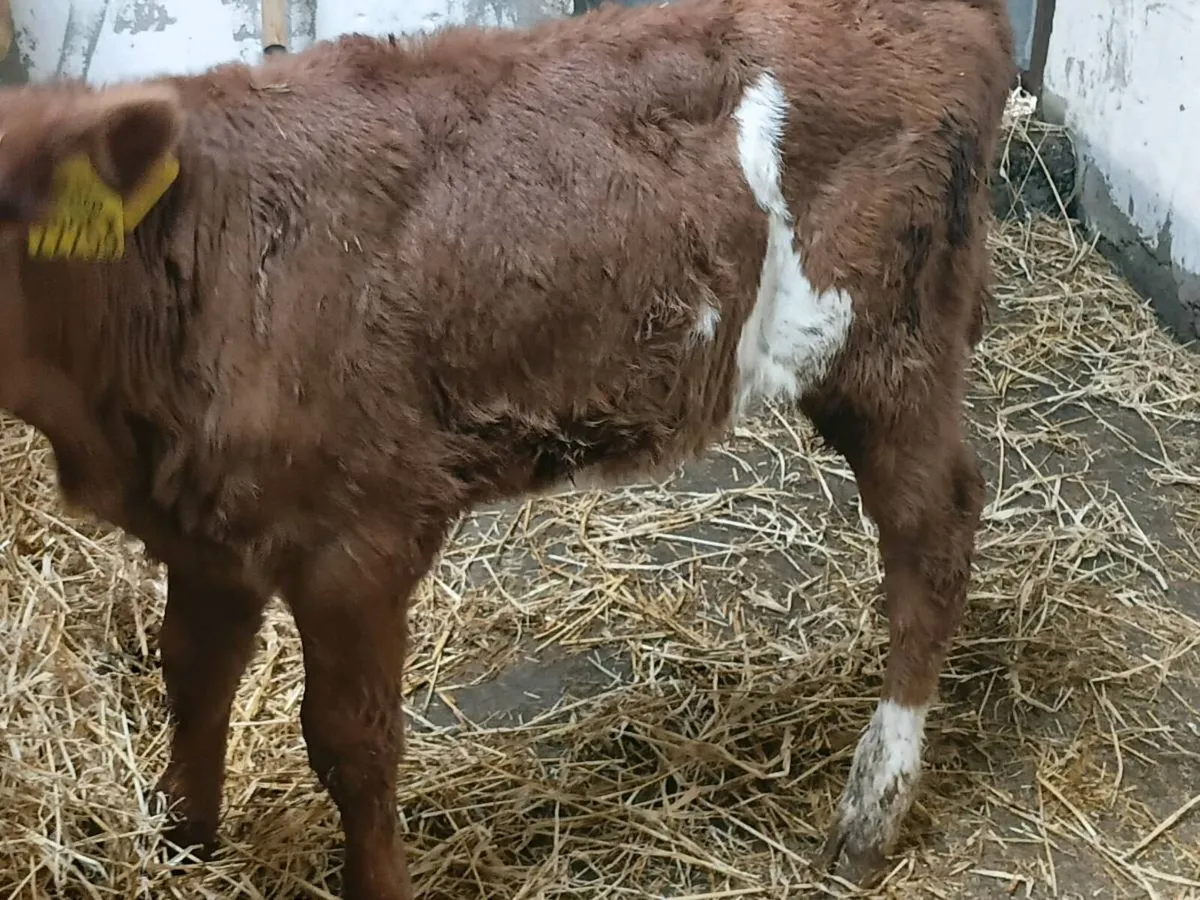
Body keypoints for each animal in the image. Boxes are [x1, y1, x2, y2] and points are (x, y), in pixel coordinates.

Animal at [0, 0, 1016, 897]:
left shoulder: (359, 540)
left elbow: (351, 744)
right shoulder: (207, 527)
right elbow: (194, 675)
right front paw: (182, 844)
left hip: (888, 345)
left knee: (933, 531)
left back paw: (870, 811)